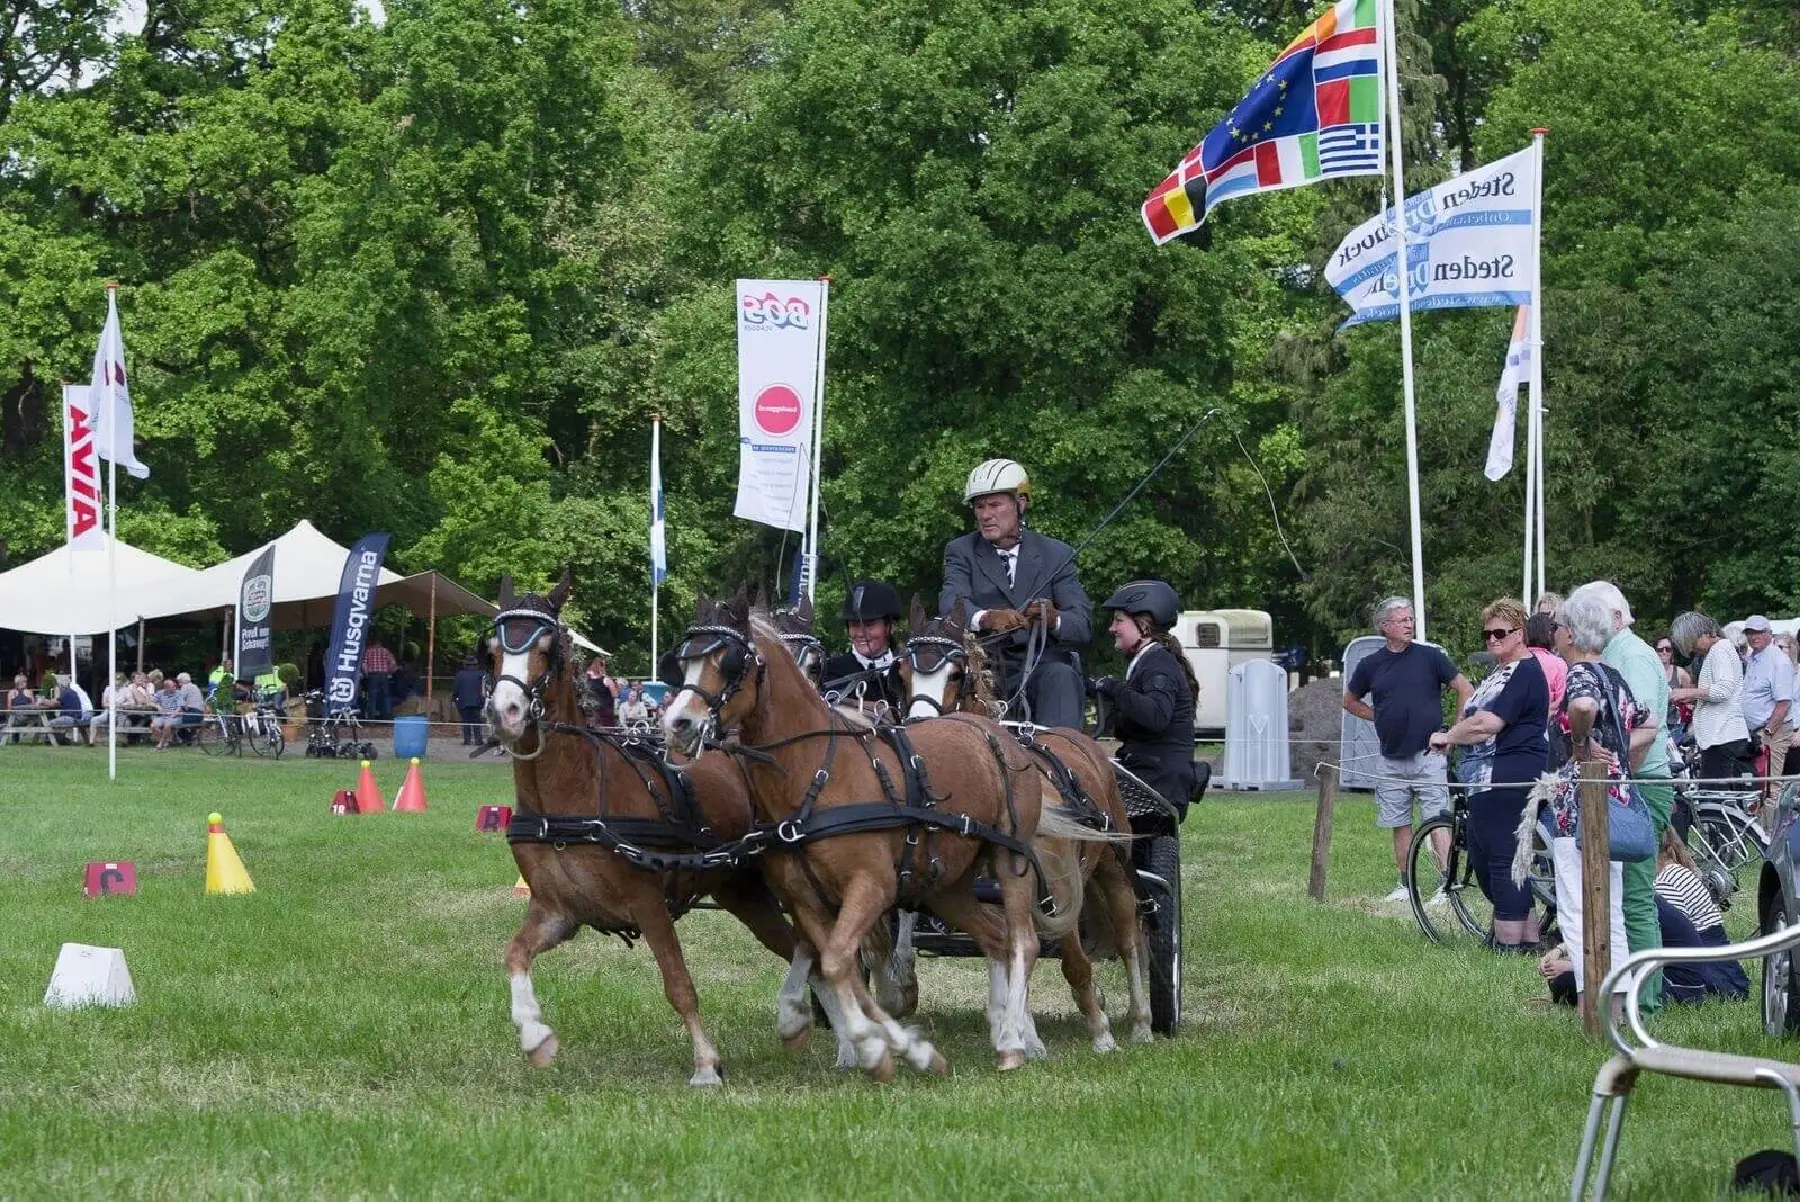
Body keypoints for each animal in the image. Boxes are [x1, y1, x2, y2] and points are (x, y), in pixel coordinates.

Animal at [482, 575, 813, 1086]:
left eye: (546, 647)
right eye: (493, 649)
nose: (505, 712)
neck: (575, 796)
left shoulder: (648, 904)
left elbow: (679, 985)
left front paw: (705, 1065)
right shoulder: (558, 911)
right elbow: (514, 953)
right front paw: (535, 1036)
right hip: (743, 893)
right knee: (799, 946)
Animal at [658, 586, 1108, 1072]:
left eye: (730, 662)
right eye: (682, 660)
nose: (676, 724)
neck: (819, 773)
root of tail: (999, 733)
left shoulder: (872, 885)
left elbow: (840, 959)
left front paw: (878, 1042)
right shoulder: (804, 898)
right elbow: (832, 961)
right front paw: (861, 1037)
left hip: (1012, 861)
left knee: (1024, 941)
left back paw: (1018, 1038)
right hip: (946, 884)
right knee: (996, 937)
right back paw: (1000, 1027)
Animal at [900, 597, 1152, 1043]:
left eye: (957, 673)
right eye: (900, 672)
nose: (920, 734)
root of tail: (1079, 739)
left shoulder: (1055, 885)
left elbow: (1072, 961)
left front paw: (1099, 1030)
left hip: (1113, 866)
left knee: (1128, 937)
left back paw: (1140, 1023)